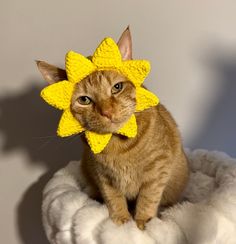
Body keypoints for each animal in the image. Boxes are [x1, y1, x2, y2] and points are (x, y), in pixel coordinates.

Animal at [37, 27, 189, 230]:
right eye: (84, 100)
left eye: (117, 87)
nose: (107, 112)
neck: (117, 145)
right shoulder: (103, 177)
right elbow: (114, 198)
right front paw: (122, 222)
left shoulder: (158, 170)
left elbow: (148, 199)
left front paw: (142, 224)